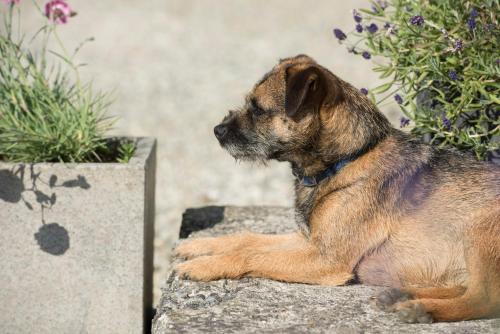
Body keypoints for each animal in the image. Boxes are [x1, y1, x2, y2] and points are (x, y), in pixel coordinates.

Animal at [174, 54, 498, 324]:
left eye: (258, 109)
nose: (217, 130)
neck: (350, 158)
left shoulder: (324, 259)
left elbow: (251, 256)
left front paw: (205, 266)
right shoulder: (310, 241)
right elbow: (247, 239)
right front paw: (199, 246)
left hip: (479, 232)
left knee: (484, 299)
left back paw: (420, 308)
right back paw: (402, 295)